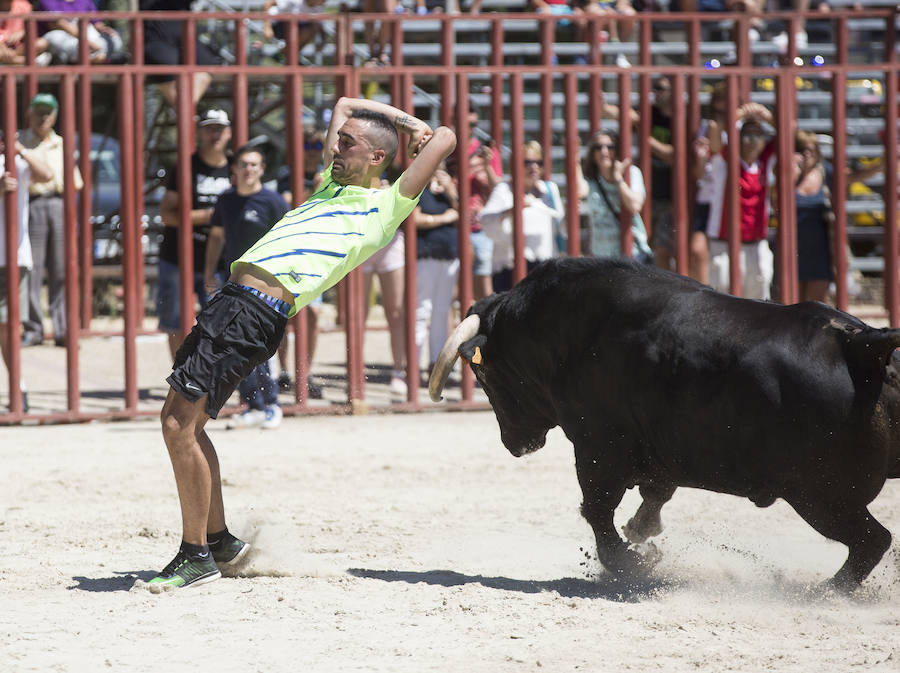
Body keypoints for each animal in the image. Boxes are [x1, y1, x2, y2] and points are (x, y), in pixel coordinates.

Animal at [428, 258, 900, 588]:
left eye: (483, 374)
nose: (515, 444)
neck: (566, 331)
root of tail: (859, 342)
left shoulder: (598, 447)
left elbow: (597, 509)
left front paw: (631, 563)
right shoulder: (659, 449)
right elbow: (654, 493)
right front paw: (642, 533)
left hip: (819, 495)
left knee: (871, 541)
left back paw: (825, 591)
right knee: (871, 542)